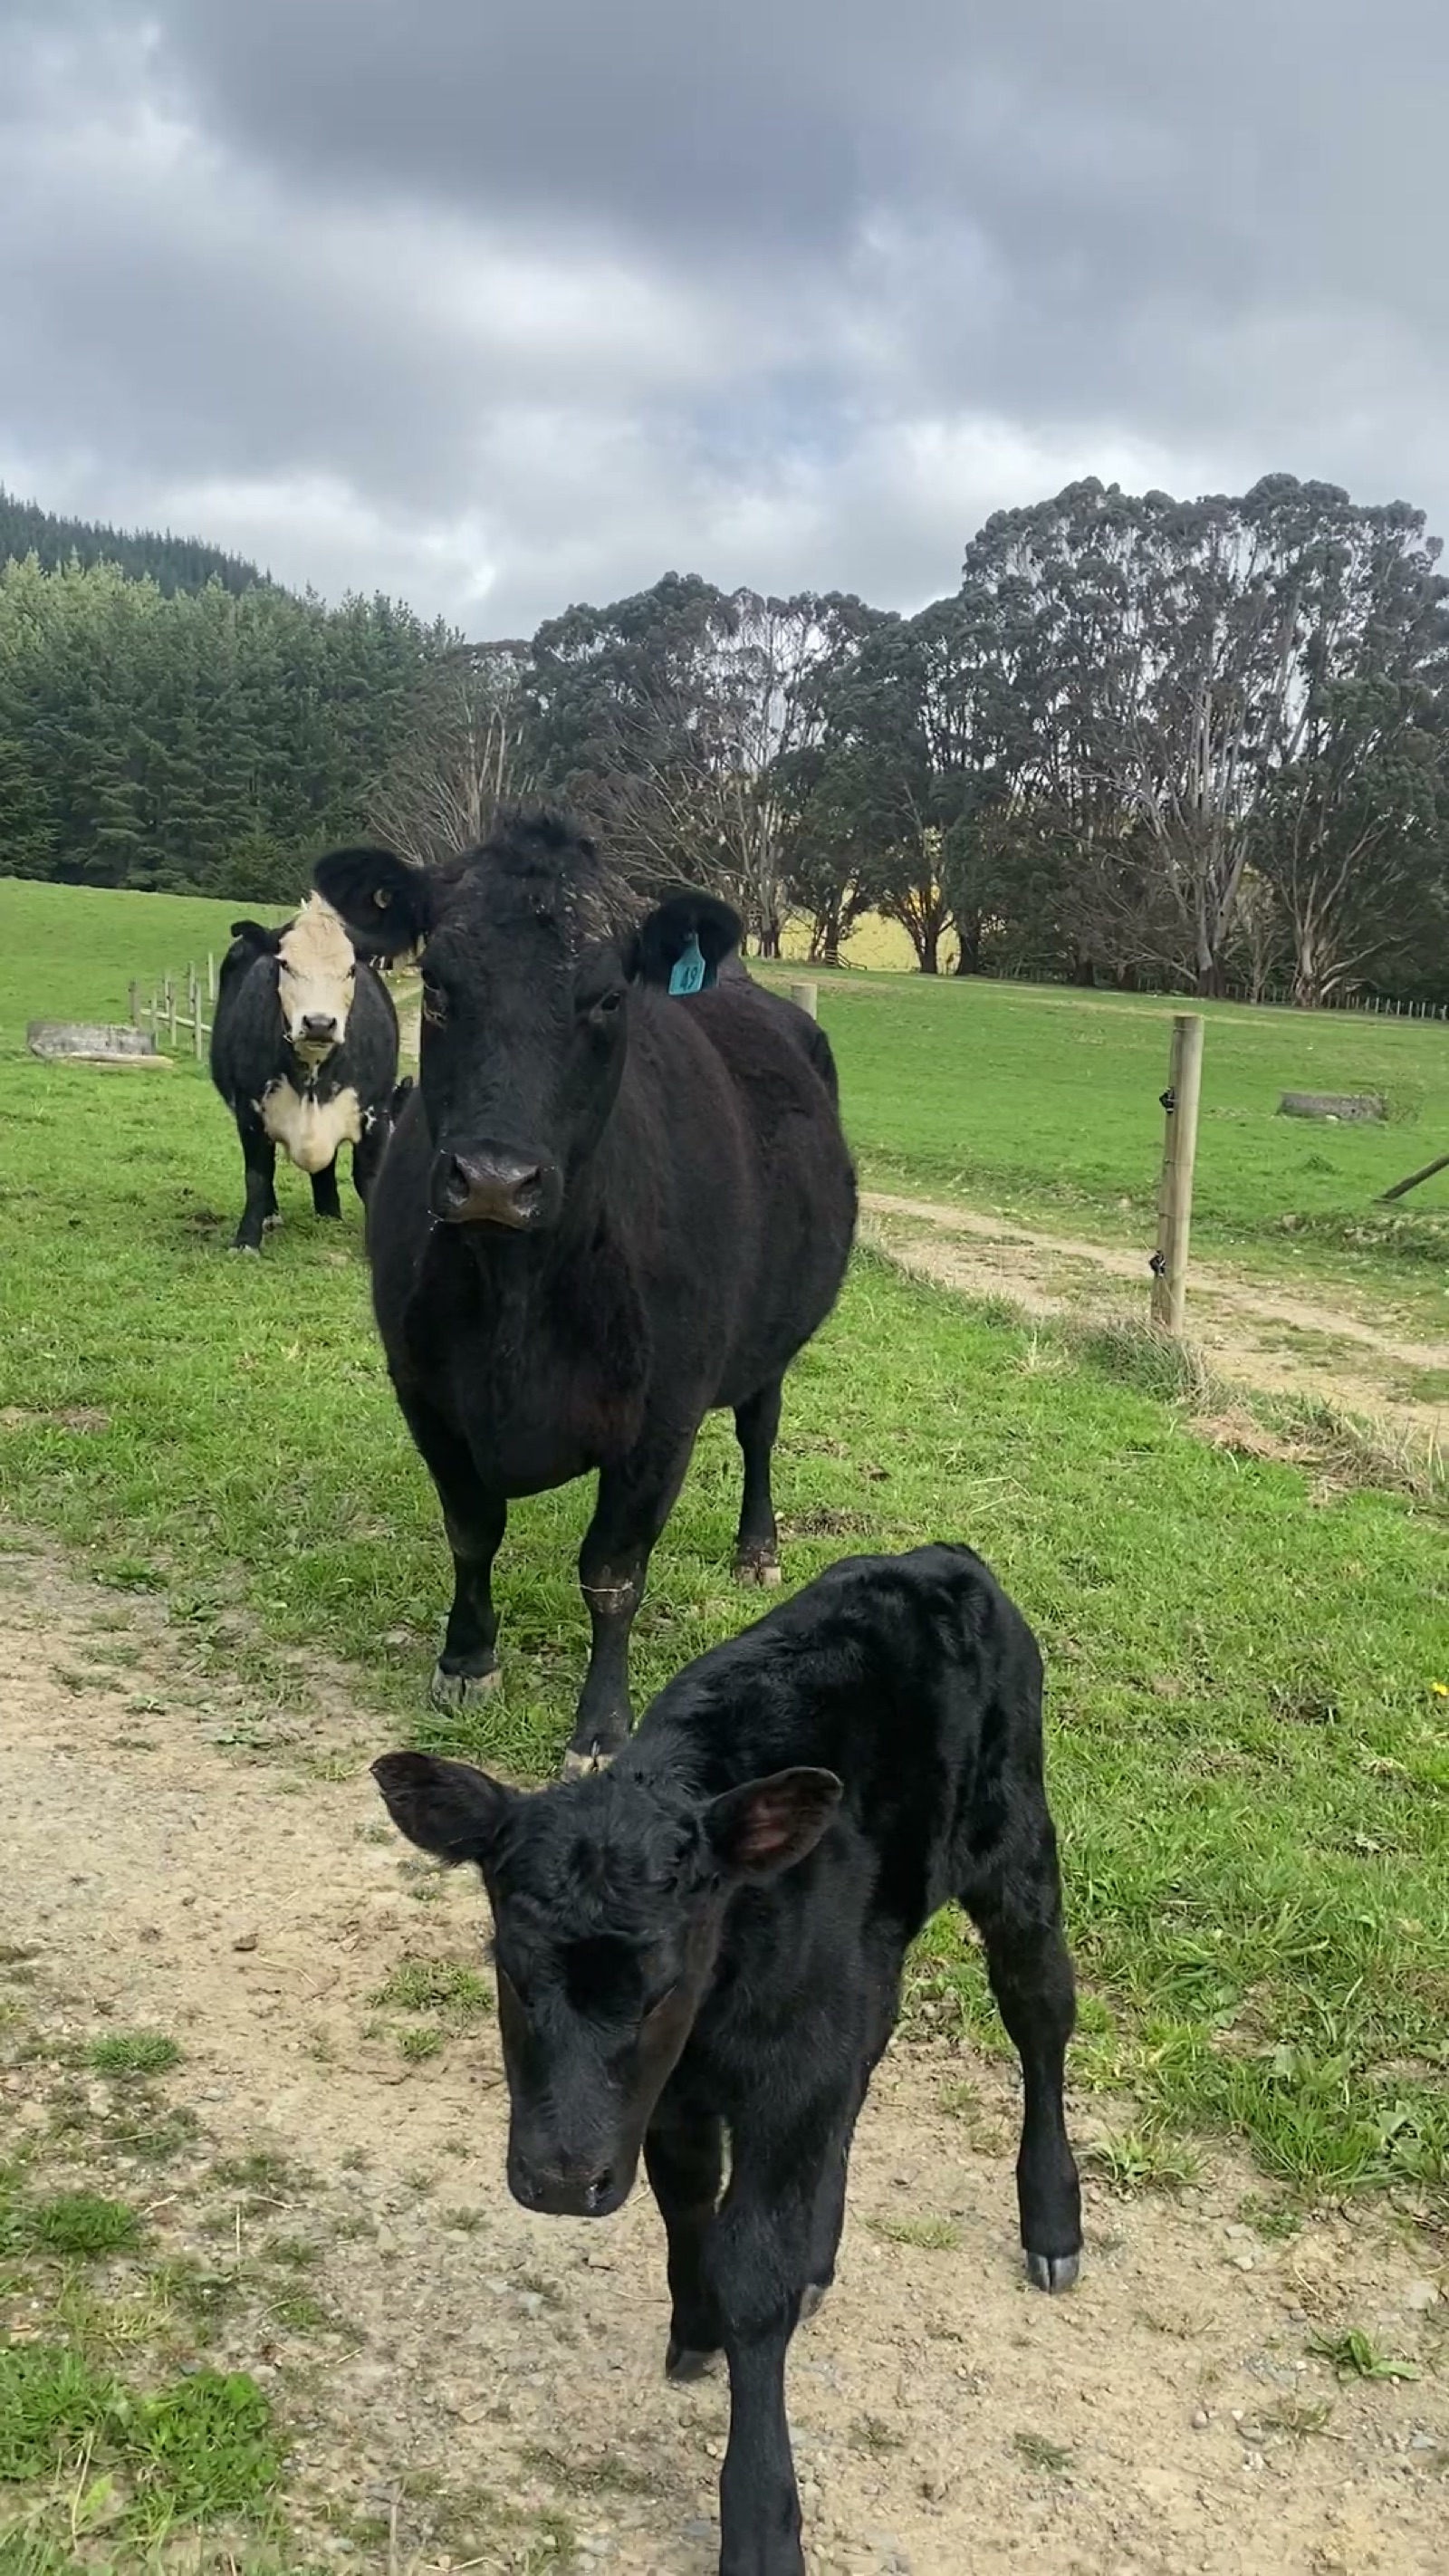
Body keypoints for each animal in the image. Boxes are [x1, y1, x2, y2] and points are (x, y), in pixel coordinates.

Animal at [208, 894, 401, 1253]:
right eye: (285, 964)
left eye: (351, 969)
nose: (320, 1023)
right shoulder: (250, 1110)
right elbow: (258, 1175)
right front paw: (246, 1240)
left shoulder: (376, 1114)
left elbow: (369, 1178)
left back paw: (329, 1213)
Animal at [312, 809, 857, 1774]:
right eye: (438, 985)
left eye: (607, 999)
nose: (495, 1180)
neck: (516, 1300)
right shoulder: (424, 1389)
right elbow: (471, 1531)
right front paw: (465, 1663)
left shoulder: (662, 1418)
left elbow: (611, 1574)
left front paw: (600, 1730)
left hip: (770, 1347)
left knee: (759, 1428)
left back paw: (757, 1547)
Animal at [369, 1542, 1083, 2576]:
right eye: (508, 1967)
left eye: (663, 1984)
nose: (561, 2181)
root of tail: (935, 1559)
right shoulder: (677, 2093)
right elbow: (686, 2200)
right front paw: (695, 2324)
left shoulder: (780, 2072)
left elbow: (755, 2270)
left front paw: (760, 2522)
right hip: (865, 1969)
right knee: (867, 2058)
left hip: (1017, 1844)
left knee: (1040, 2013)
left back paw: (1053, 2224)